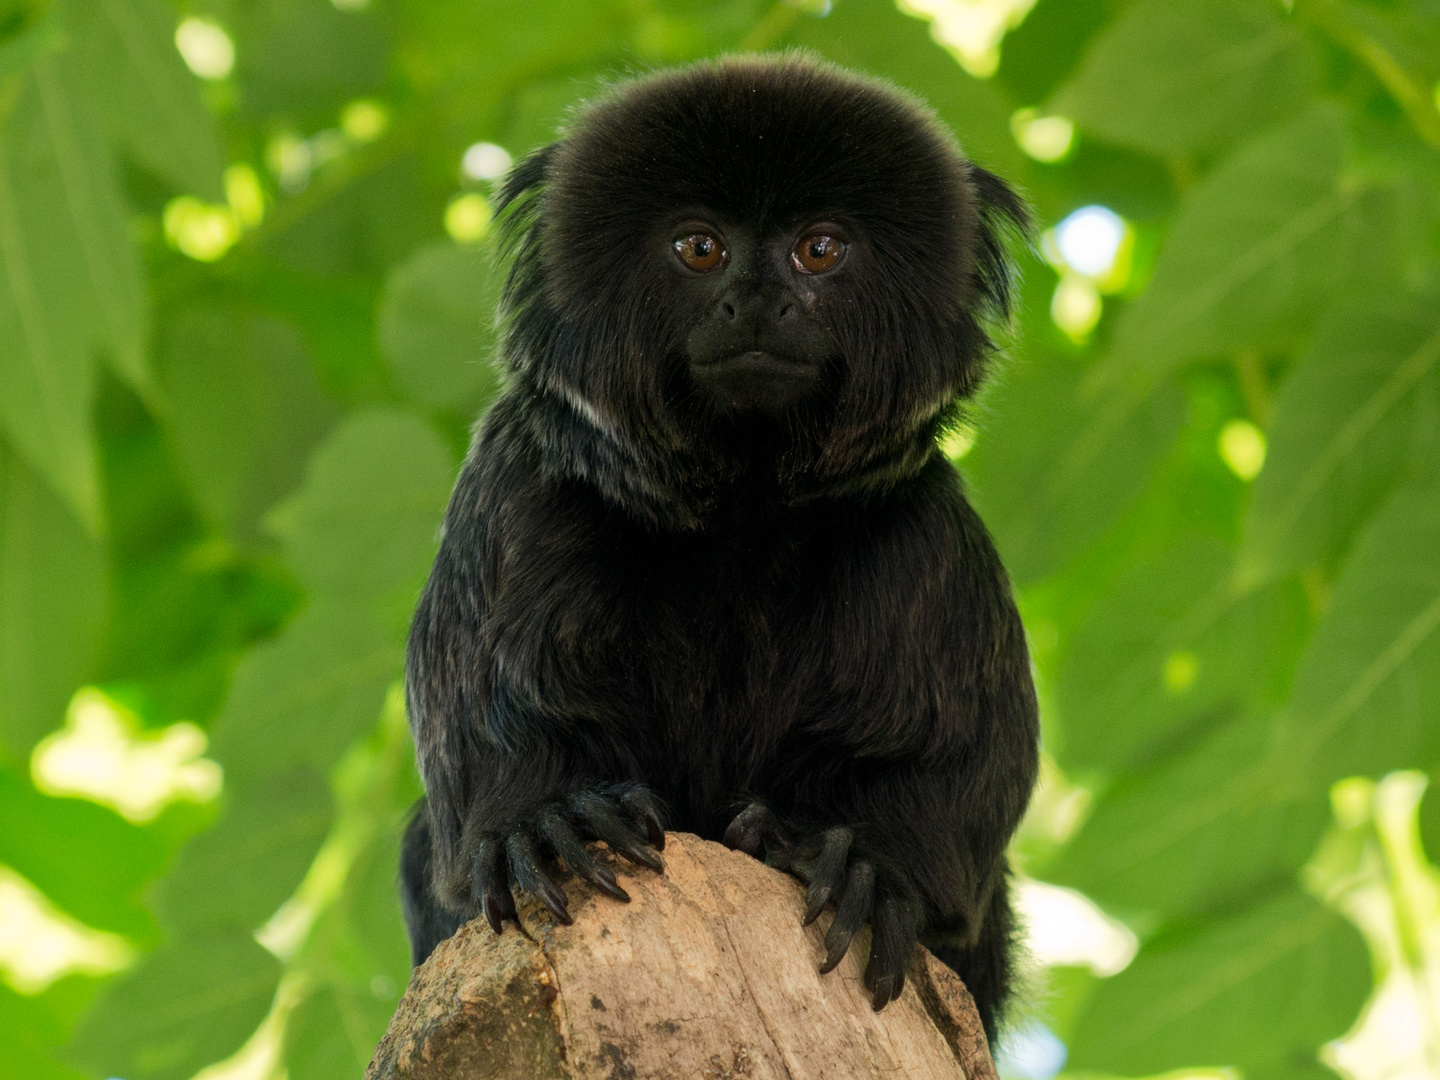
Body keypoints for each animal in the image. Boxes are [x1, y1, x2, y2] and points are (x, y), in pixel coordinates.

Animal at [400, 52, 1042, 1042]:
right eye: (699, 249)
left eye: (819, 250)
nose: (758, 303)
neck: (742, 519)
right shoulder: (516, 488)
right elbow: (478, 721)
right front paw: (544, 815)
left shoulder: (925, 532)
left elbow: (969, 769)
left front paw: (865, 862)